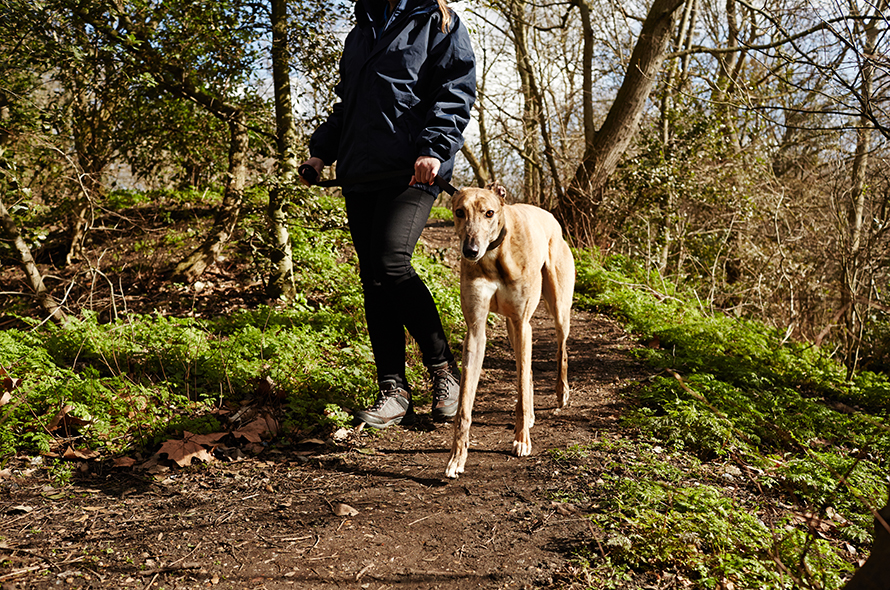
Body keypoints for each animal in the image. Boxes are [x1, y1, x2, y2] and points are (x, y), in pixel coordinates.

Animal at [444, 185, 576, 480]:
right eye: (459, 212)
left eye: (489, 213)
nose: (470, 251)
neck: (494, 256)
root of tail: (550, 217)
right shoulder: (476, 329)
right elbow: (464, 405)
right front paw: (457, 458)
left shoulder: (522, 320)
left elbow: (522, 386)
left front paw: (522, 440)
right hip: (513, 328)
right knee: (527, 370)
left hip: (557, 308)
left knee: (561, 349)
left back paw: (561, 393)